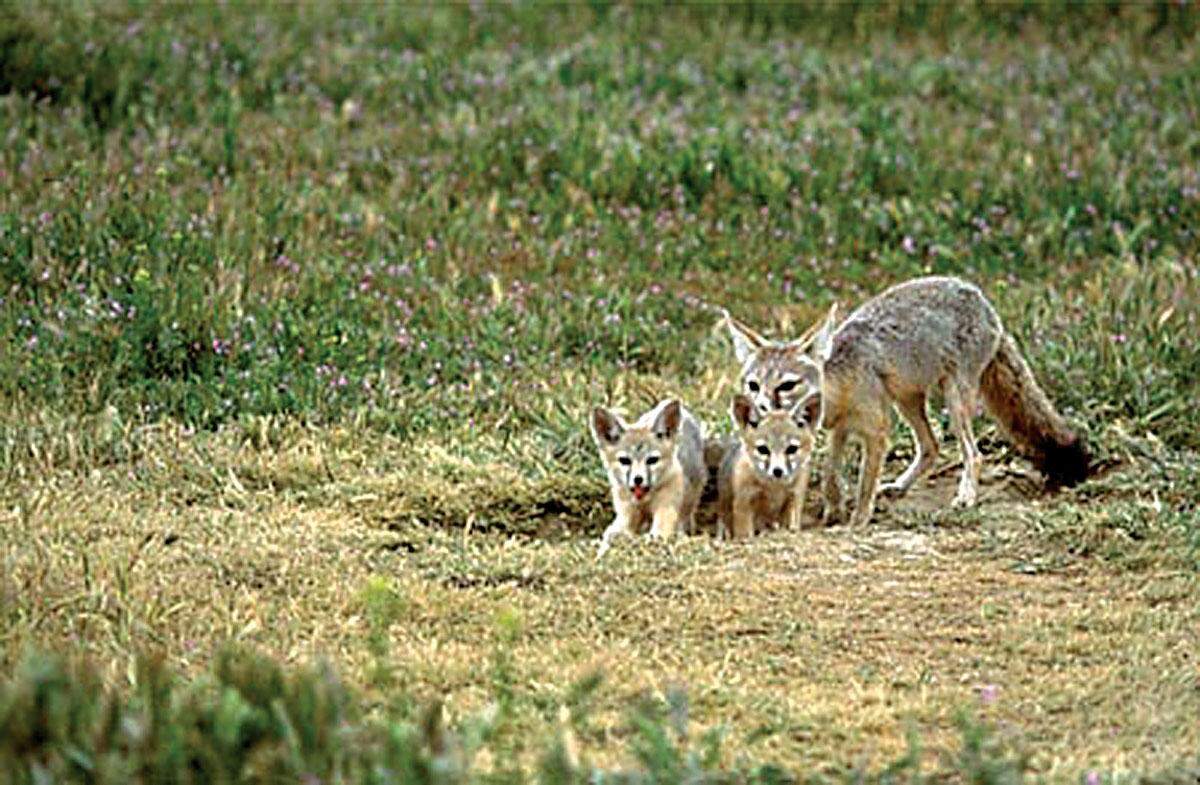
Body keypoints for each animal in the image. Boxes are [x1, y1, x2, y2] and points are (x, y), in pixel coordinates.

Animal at [590, 398, 706, 557]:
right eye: (625, 460)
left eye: (652, 460)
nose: (638, 479)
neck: (644, 502)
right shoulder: (626, 514)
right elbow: (614, 531)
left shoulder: (666, 508)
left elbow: (660, 531)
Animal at [717, 392, 821, 539]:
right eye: (763, 449)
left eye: (792, 449)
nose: (777, 471)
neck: (774, 489)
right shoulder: (744, 503)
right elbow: (745, 533)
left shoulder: (794, 498)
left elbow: (793, 527)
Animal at [723, 275, 1090, 527]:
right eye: (753, 385)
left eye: (786, 386)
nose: (760, 409)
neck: (841, 384)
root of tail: (983, 301)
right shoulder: (839, 429)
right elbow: (830, 473)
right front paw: (832, 508)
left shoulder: (877, 430)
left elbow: (865, 482)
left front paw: (857, 519)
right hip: (908, 401)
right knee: (931, 446)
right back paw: (900, 486)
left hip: (954, 400)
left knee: (972, 454)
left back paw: (965, 496)